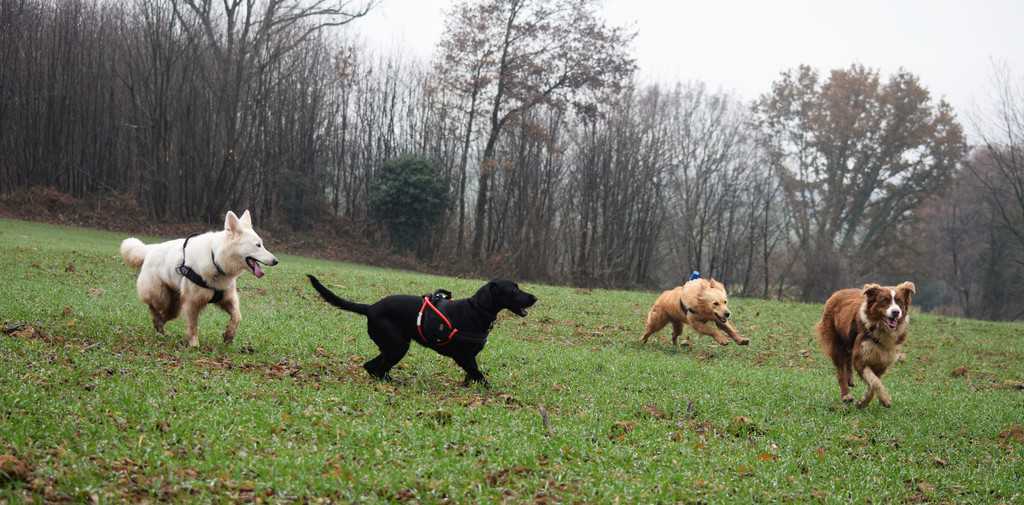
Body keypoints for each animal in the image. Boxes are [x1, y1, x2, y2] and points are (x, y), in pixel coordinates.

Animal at [120, 210, 278, 347]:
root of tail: (150, 249)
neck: (216, 259)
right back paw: (157, 321)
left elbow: (237, 317)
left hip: (175, 305)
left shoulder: (227, 299)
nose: (276, 261)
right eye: (258, 245)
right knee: (153, 307)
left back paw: (160, 327)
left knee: (165, 316)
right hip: (161, 297)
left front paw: (229, 335)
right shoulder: (192, 302)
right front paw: (194, 344)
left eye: (262, 244)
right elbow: (193, 325)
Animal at [306, 275, 537, 385]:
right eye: (514, 289)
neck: (477, 310)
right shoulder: (464, 357)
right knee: (376, 368)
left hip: (391, 347)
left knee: (372, 367)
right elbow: (478, 375)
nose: (535, 297)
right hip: (398, 346)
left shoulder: (469, 359)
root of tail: (370, 307)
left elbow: (471, 376)